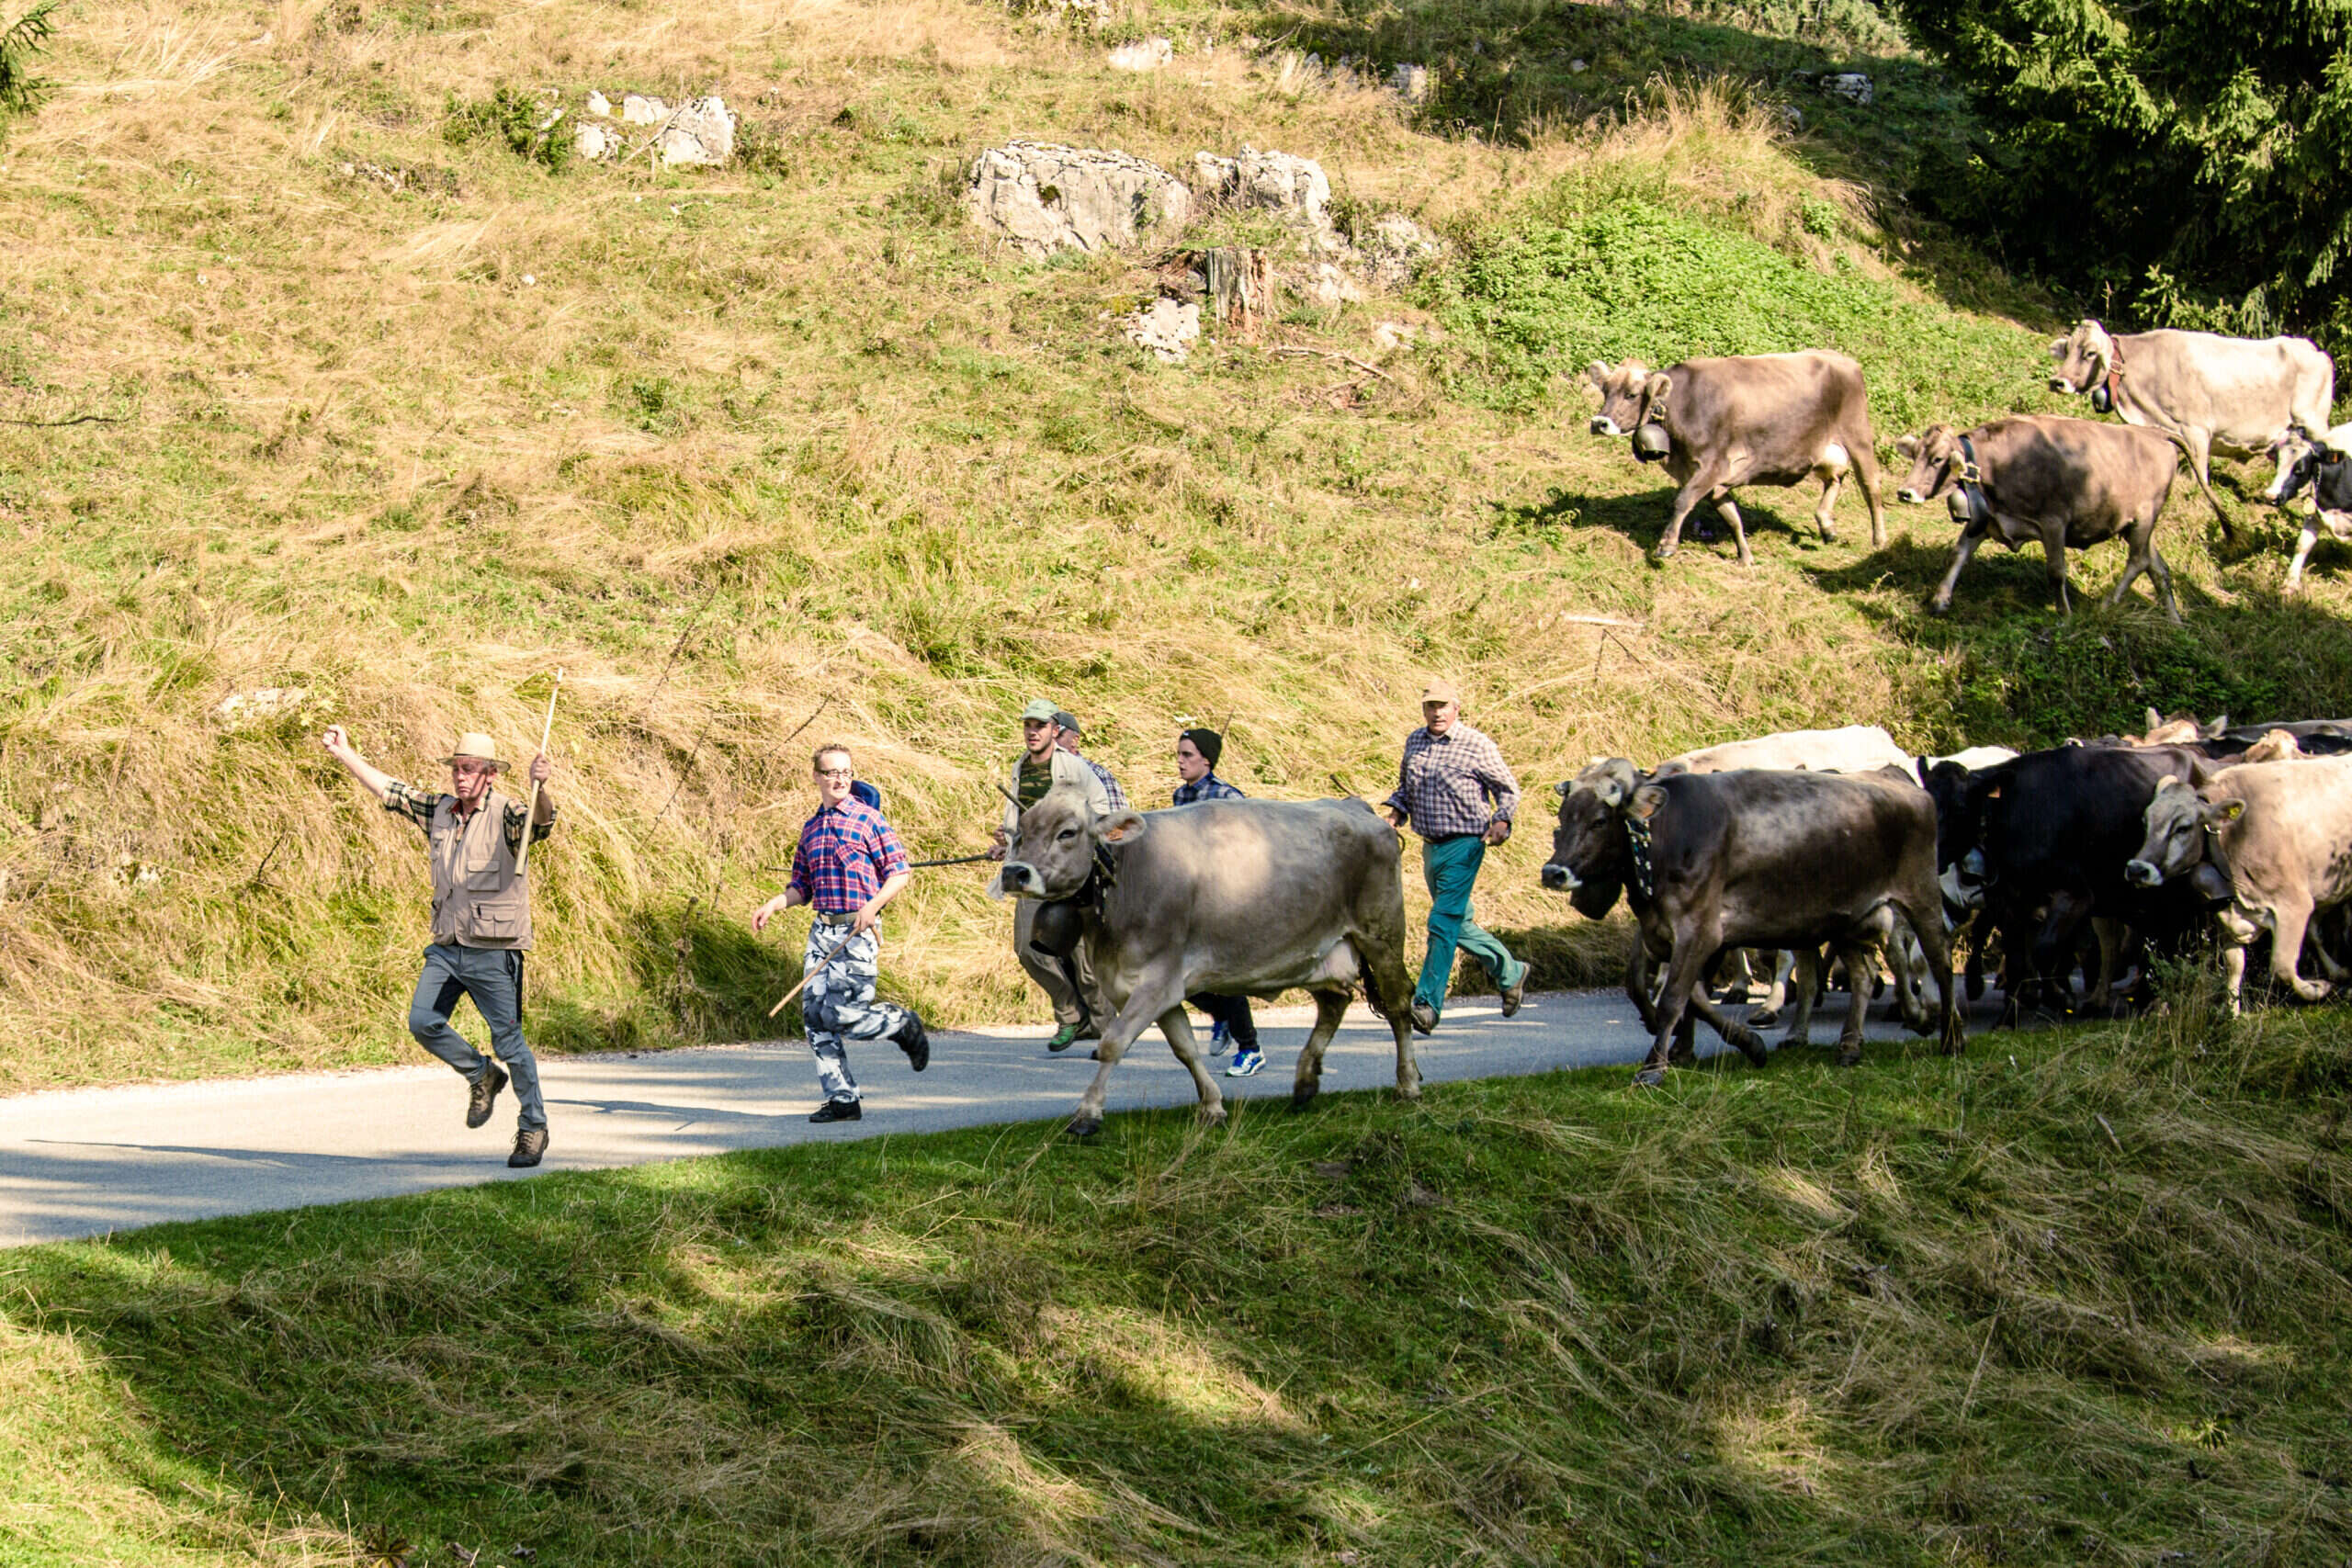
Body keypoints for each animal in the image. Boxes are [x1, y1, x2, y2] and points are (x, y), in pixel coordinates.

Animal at [988, 789, 1411, 1133]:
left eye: (1068, 832)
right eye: (1021, 832)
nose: (1014, 872)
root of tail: (1353, 805)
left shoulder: (1158, 980)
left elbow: (1113, 1043)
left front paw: (1088, 1113)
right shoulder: (1149, 987)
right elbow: (1185, 1048)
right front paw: (1212, 1106)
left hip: (1382, 935)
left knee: (1398, 1005)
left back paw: (1407, 1084)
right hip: (1317, 953)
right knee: (1335, 1003)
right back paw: (1305, 1082)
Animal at [1580, 352, 1891, 566]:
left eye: (1632, 395)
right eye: (1605, 391)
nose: (1599, 423)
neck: (1684, 405)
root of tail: (1841, 357)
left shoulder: (1713, 466)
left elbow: (1683, 500)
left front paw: (1667, 544)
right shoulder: (1711, 479)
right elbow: (1732, 517)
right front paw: (1745, 556)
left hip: (1858, 436)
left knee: (1870, 488)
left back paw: (1879, 539)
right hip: (1821, 449)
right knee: (1835, 479)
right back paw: (1826, 525)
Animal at [1891, 421, 2182, 620]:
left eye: (1937, 459)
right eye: (1914, 454)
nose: (1905, 492)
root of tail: (2156, 433)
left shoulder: (2054, 521)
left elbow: (2056, 571)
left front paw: (2065, 614)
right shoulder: (1989, 517)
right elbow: (1958, 554)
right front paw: (1940, 599)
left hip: (2145, 516)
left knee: (2138, 562)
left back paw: (2106, 605)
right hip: (2133, 525)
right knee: (2159, 567)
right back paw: (2175, 622)